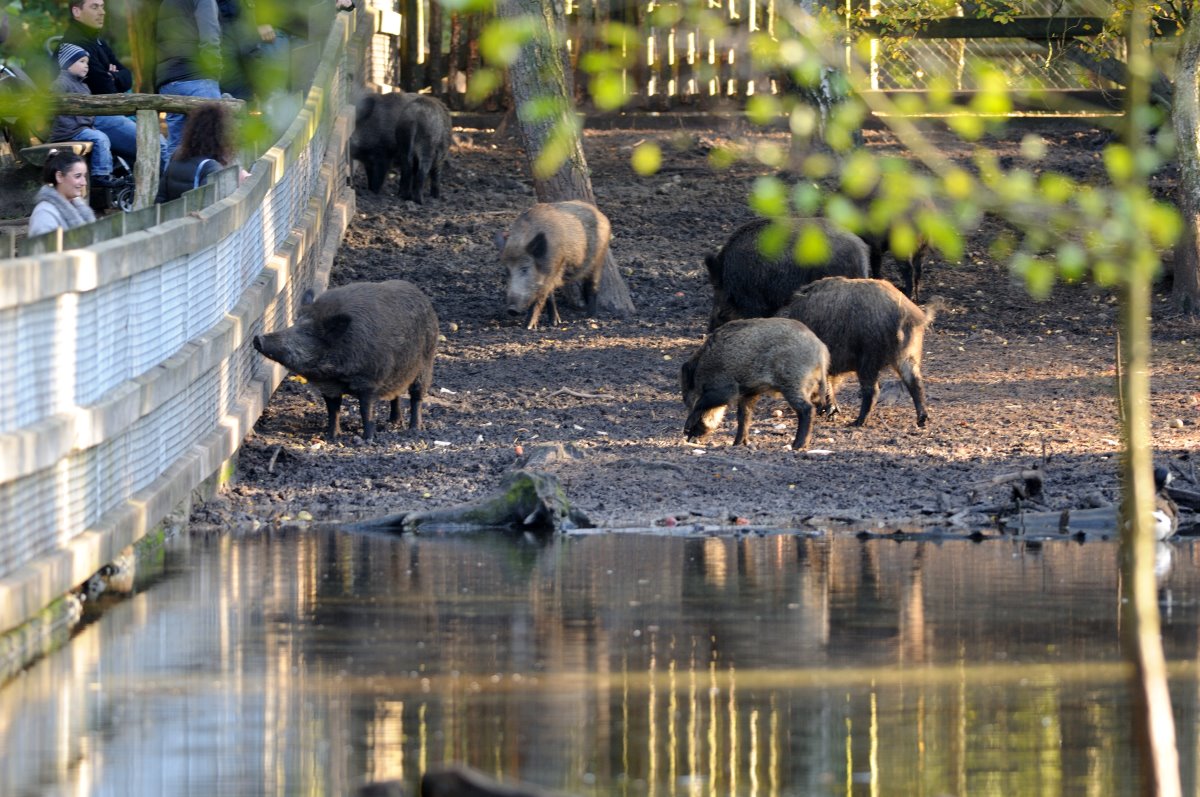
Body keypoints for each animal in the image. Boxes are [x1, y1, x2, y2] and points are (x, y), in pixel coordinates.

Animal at [252, 280, 439, 442]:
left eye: (308, 333)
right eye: (294, 324)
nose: (257, 338)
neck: (335, 373)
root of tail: (425, 300)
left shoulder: (369, 382)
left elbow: (366, 411)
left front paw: (368, 439)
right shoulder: (329, 388)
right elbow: (333, 411)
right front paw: (332, 436)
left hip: (426, 363)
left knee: (417, 396)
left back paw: (414, 428)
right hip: (399, 373)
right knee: (396, 395)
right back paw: (393, 422)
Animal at [496, 200, 611, 330]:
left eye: (525, 269)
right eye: (507, 271)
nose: (511, 310)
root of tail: (602, 216)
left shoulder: (552, 270)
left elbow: (540, 298)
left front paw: (528, 327)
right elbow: (549, 297)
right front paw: (555, 323)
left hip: (598, 259)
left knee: (593, 285)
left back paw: (590, 317)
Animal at [680, 317, 830, 451]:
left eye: (689, 400)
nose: (688, 437)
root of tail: (820, 350)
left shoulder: (726, 388)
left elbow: (704, 403)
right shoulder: (749, 392)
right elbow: (743, 416)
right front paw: (738, 444)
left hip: (793, 383)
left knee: (807, 409)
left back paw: (797, 446)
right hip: (808, 386)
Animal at [778, 276, 933, 428]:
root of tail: (907, 314)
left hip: (869, 359)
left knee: (873, 391)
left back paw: (857, 422)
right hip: (908, 355)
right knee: (916, 384)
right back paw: (922, 420)